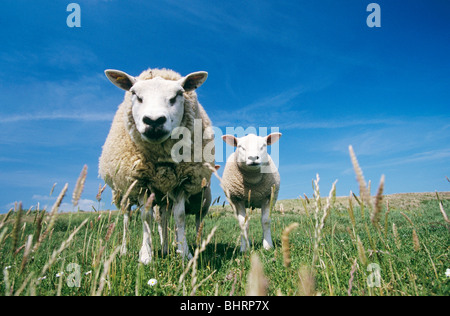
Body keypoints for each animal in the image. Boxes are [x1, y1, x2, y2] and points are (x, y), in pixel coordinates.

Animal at [99, 67, 215, 264]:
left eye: (178, 94)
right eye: (135, 94)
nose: (154, 121)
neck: (162, 159)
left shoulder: (182, 182)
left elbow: (179, 216)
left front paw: (184, 253)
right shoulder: (141, 182)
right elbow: (145, 216)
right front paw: (146, 255)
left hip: (165, 197)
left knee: (163, 219)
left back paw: (166, 248)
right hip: (125, 194)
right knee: (126, 218)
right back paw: (125, 249)